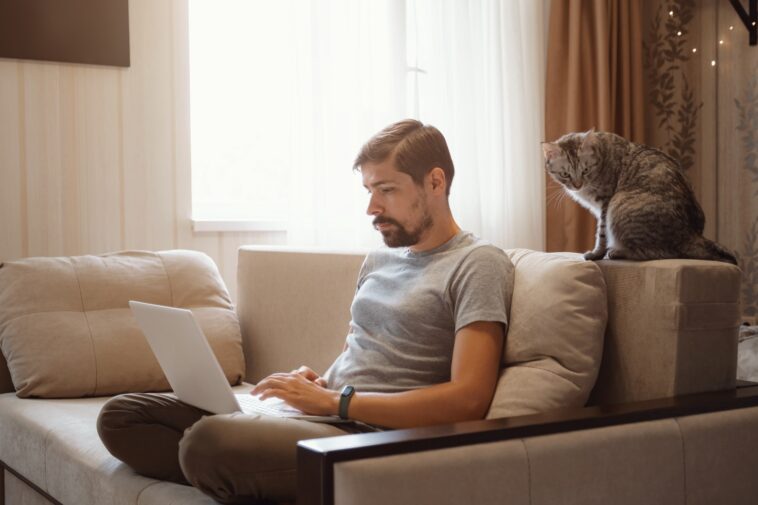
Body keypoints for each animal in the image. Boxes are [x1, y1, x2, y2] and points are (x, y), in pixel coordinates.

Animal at [544, 129, 740, 264]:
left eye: (585, 170)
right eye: (565, 174)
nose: (577, 185)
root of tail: (693, 235)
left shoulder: (606, 204)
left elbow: (601, 234)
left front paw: (596, 253)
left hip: (620, 204)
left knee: (660, 253)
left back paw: (618, 252)